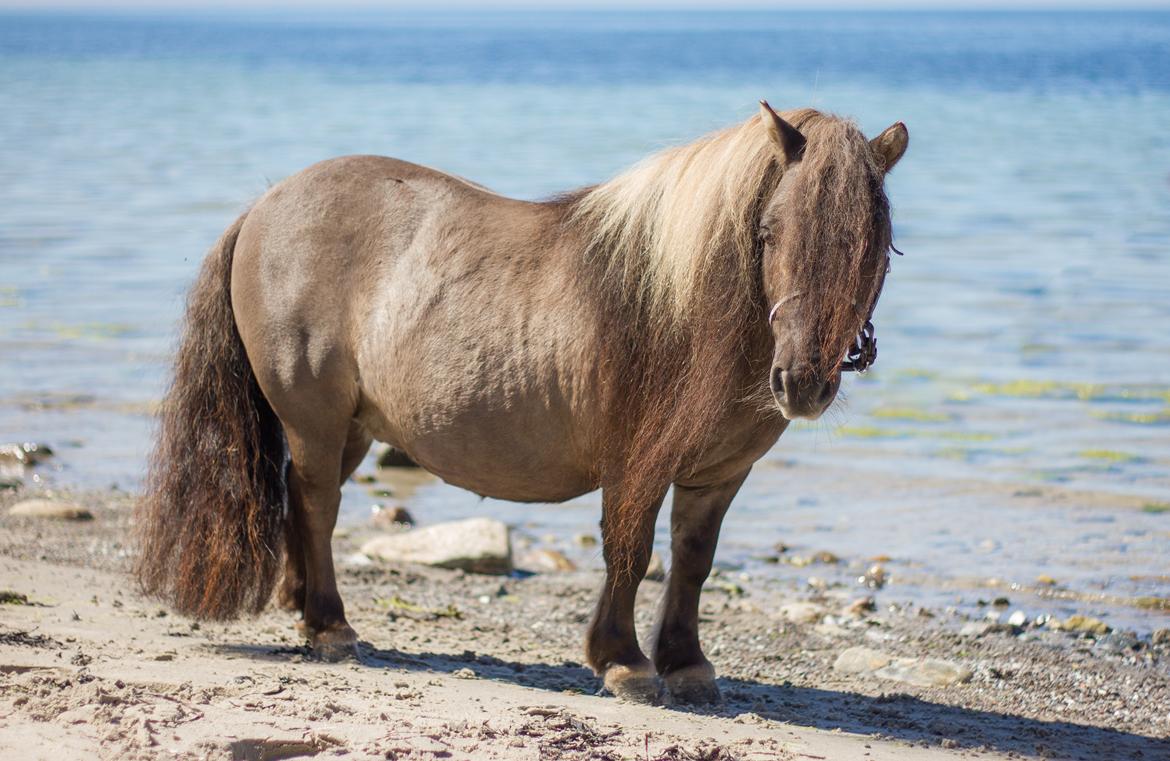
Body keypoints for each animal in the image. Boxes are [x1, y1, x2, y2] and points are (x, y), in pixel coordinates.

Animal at [134, 102, 903, 707]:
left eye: (874, 245)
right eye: (769, 231)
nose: (802, 381)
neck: (676, 306)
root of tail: (265, 206)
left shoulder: (719, 473)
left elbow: (692, 558)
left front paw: (686, 664)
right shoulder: (635, 465)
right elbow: (630, 552)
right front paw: (623, 661)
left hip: (352, 427)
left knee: (300, 498)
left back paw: (301, 605)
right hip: (313, 419)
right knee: (320, 505)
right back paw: (330, 625)